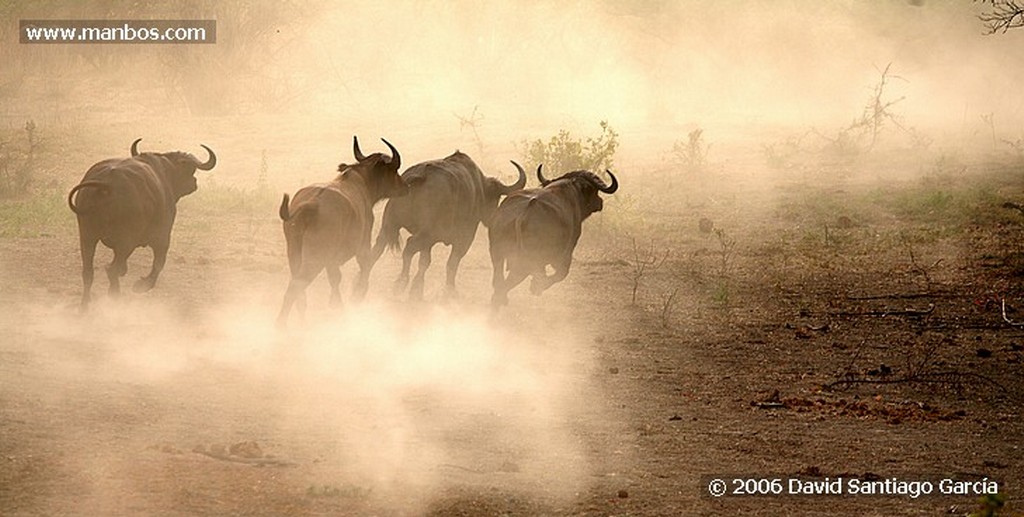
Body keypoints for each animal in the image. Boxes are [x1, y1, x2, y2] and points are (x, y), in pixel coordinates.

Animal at [66, 137, 218, 309]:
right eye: (191, 169)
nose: (194, 183)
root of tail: (107, 185)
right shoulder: (163, 236)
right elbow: (159, 263)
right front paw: (141, 286)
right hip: (126, 241)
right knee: (111, 269)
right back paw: (114, 297)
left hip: (87, 236)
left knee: (88, 272)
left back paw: (85, 305)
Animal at [280, 135, 411, 323]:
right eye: (394, 171)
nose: (406, 187)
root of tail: (312, 204)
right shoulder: (363, 246)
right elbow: (363, 268)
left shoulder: (331, 260)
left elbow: (335, 278)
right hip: (314, 257)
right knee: (296, 286)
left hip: (294, 253)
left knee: (299, 291)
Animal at [368, 150, 528, 298]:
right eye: (496, 197)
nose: (492, 217)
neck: (478, 188)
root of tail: (420, 176)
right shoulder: (464, 239)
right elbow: (452, 263)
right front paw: (449, 291)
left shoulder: (429, 243)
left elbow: (424, 262)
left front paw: (418, 288)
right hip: (426, 232)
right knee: (409, 247)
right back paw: (401, 282)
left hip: (390, 225)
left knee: (377, 248)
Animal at [485, 164, 614, 305]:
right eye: (595, 191)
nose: (600, 202)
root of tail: (523, 214)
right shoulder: (565, 254)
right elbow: (561, 273)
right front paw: (537, 286)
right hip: (525, 261)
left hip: (497, 253)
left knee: (498, 283)